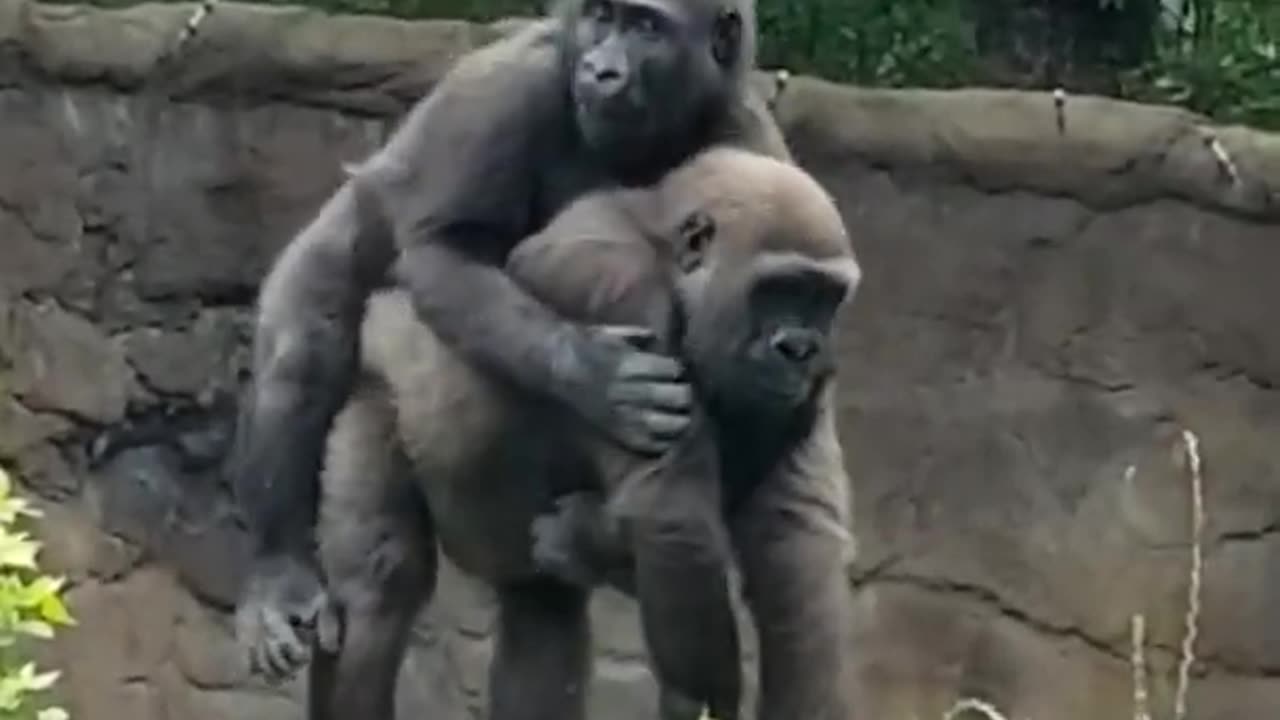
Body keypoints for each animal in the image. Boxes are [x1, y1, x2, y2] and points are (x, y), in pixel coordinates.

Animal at [311, 146, 865, 717]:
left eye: (823, 297)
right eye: (780, 289)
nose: (799, 348)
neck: (662, 243)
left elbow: (794, 542)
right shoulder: (623, 288)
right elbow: (673, 517)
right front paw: (699, 703)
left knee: (541, 623)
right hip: (372, 381)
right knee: (380, 592)